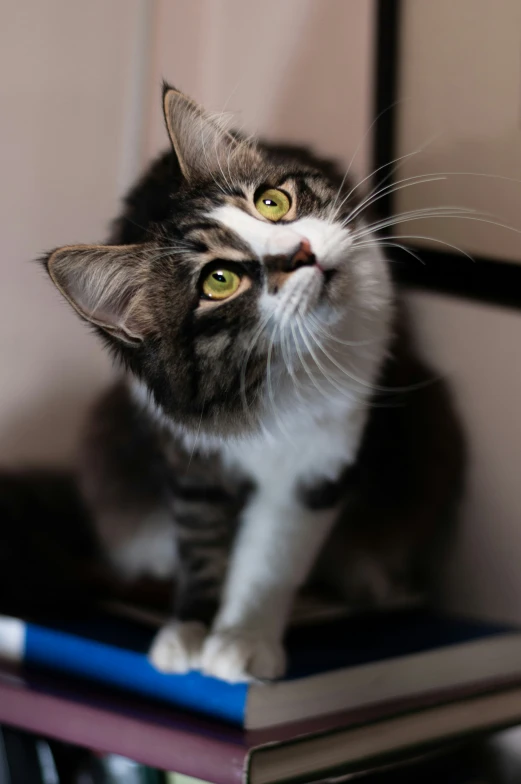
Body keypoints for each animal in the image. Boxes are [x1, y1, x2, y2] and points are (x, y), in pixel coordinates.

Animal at [38, 86, 466, 684]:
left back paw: (368, 578)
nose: (304, 251)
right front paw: (190, 629)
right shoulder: (186, 449)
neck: (265, 375)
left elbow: (271, 560)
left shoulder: (317, 460)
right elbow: (200, 542)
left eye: (272, 203)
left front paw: (242, 640)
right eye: (220, 280)